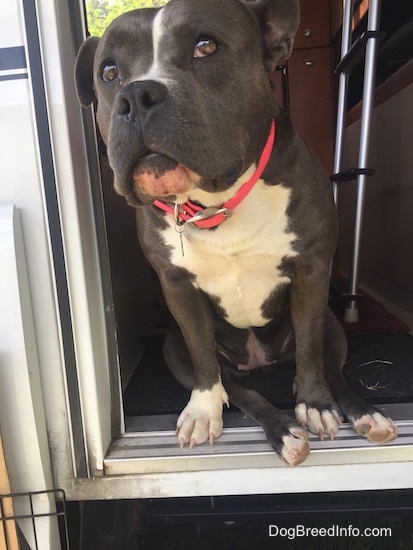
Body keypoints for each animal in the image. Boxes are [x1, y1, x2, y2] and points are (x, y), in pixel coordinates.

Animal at [75, 0, 398, 466]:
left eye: (206, 46)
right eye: (109, 72)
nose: (136, 95)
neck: (217, 202)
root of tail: (259, 361)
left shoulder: (312, 270)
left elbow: (310, 351)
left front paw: (315, 403)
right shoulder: (178, 290)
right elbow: (205, 361)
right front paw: (202, 412)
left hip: (333, 326)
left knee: (329, 367)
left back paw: (364, 414)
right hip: (174, 349)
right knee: (242, 391)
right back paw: (283, 431)